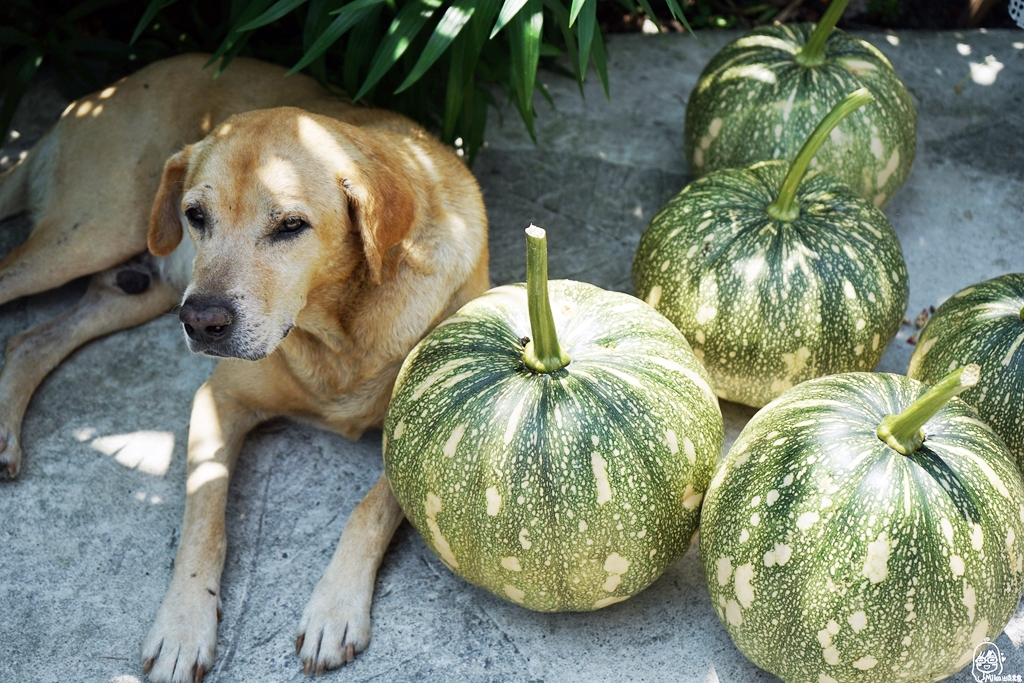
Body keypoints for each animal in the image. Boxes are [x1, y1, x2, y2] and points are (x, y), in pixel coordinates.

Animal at [0, 56, 491, 679]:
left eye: (290, 225)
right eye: (195, 215)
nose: (200, 322)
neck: (336, 333)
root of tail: (97, 94)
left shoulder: (427, 427)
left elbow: (371, 507)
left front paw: (335, 607)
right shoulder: (218, 399)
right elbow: (204, 515)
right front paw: (184, 625)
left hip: (136, 289)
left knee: (30, 339)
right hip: (91, 237)